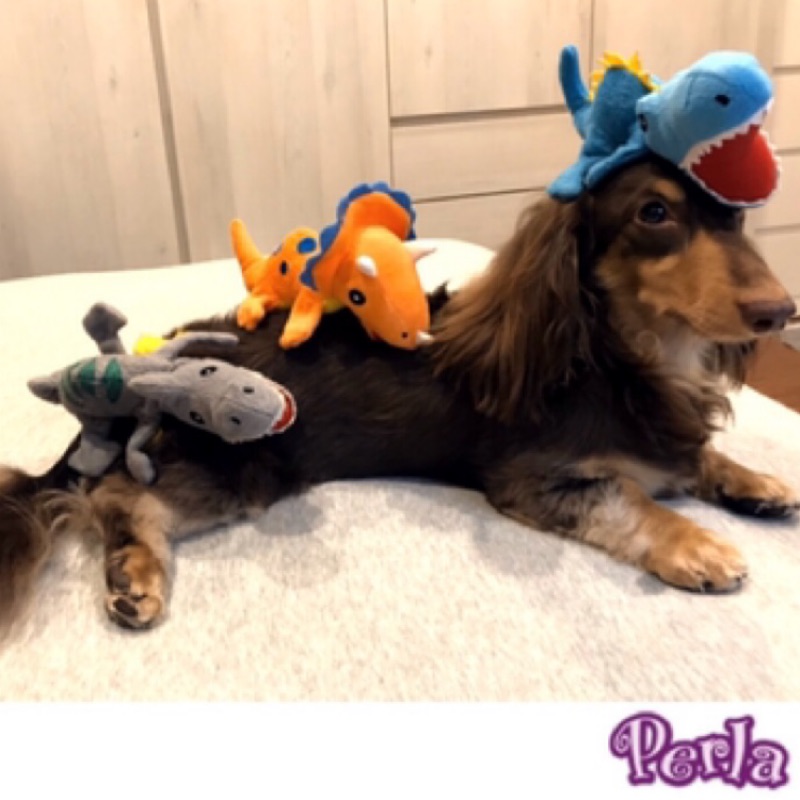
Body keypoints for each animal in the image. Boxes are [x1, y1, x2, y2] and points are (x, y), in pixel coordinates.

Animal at [1, 155, 798, 632]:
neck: (627, 356)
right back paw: (134, 574)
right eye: (653, 214)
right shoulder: (530, 478)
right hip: (242, 461)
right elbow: (627, 497)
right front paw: (696, 544)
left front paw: (756, 482)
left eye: (737, 216)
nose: (780, 312)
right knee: (117, 497)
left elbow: (699, 457)